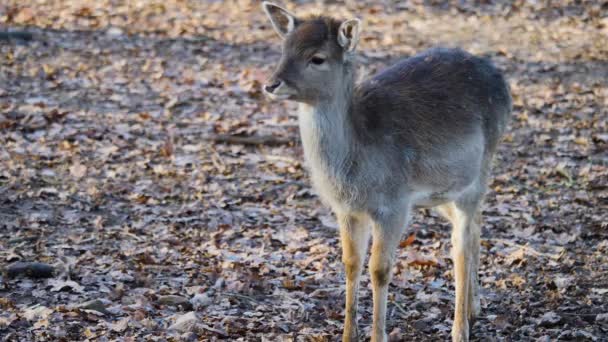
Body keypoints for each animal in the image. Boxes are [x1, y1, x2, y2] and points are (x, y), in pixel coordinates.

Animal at [258, 3, 510, 342]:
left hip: (478, 172)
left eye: (317, 58)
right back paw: (474, 307)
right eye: (284, 49)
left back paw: (460, 329)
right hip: (444, 190)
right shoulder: (347, 210)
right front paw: (348, 334)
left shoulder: (393, 204)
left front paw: (378, 335)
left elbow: (379, 269)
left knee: (462, 245)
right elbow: (351, 263)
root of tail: (503, 81)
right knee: (474, 229)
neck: (355, 168)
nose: (271, 84)